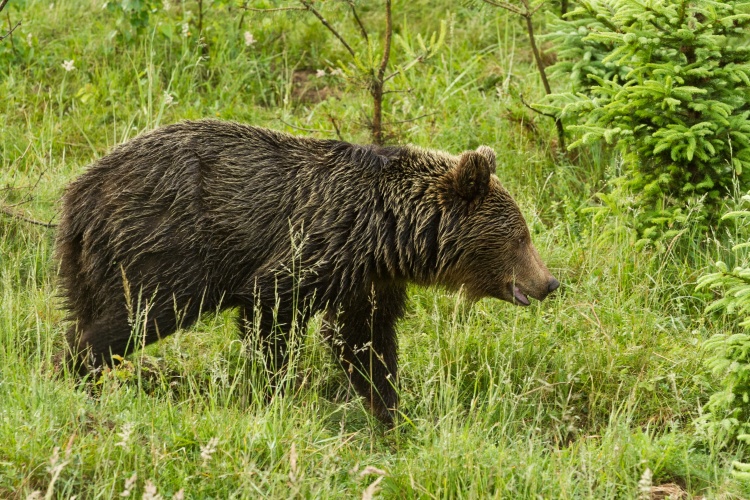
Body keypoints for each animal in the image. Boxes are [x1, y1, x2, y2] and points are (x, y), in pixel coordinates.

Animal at [55, 119, 560, 424]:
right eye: (520, 236)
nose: (549, 282)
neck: (387, 234)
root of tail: (82, 189)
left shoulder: (366, 280)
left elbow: (364, 342)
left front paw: (390, 411)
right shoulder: (308, 252)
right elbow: (273, 322)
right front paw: (272, 393)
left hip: (90, 263)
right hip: (166, 248)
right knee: (135, 317)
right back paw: (78, 372)